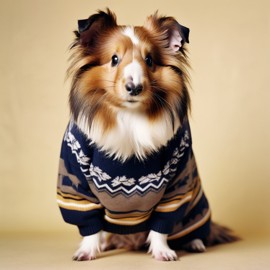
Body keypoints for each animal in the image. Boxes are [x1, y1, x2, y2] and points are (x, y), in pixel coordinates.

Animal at [57, 8, 238, 262]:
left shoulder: (176, 187)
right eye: (114, 58)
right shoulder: (77, 186)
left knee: (194, 230)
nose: (134, 88)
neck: (129, 118)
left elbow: (161, 226)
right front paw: (88, 250)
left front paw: (163, 252)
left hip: (195, 206)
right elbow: (90, 225)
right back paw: (105, 244)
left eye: (149, 60)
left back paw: (195, 243)